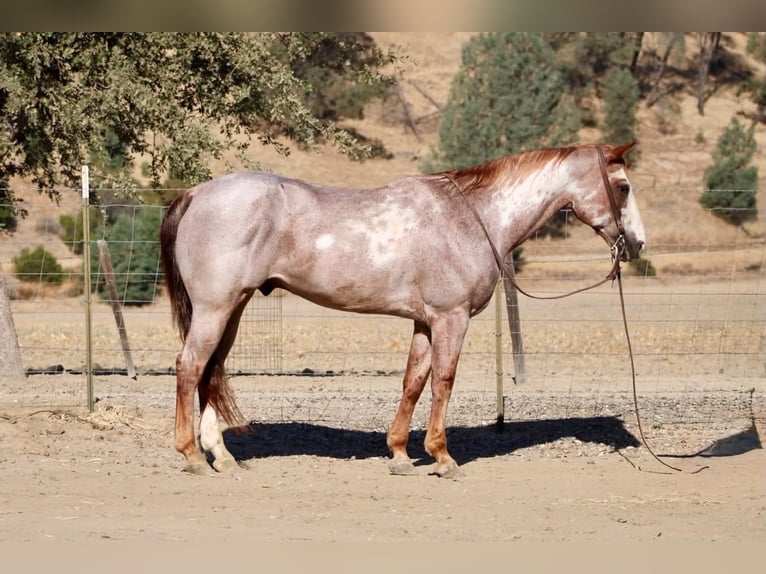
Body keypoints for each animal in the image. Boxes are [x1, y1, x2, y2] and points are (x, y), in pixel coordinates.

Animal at [159, 142, 645, 478]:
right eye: (622, 187)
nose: (638, 244)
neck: (471, 217)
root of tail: (196, 194)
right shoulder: (451, 318)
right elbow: (443, 381)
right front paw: (442, 456)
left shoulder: (425, 322)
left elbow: (413, 381)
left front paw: (398, 453)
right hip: (215, 308)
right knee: (191, 365)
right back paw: (191, 456)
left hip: (233, 308)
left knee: (212, 368)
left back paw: (222, 457)